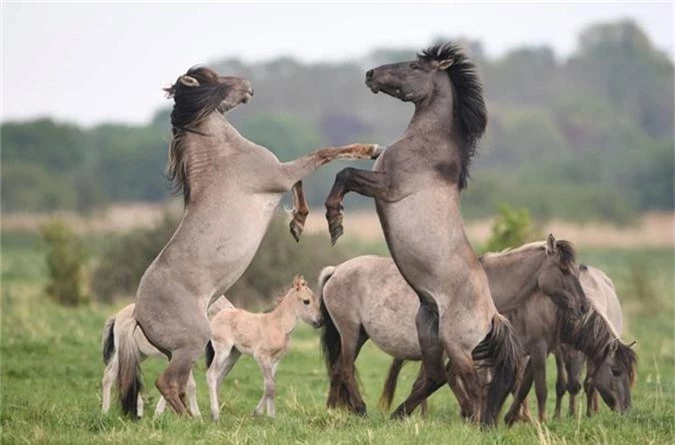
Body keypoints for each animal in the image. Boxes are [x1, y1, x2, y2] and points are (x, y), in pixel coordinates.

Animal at [116, 66, 380, 416]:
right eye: (215, 79)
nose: (248, 86)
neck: (223, 154)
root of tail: (137, 315)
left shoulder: (280, 177)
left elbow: (300, 182)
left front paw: (298, 223)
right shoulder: (279, 174)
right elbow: (319, 156)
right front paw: (371, 149)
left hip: (180, 351)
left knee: (177, 385)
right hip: (191, 343)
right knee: (168, 383)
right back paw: (193, 420)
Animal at [320, 234, 588, 418]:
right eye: (563, 270)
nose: (584, 306)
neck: (483, 290)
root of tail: (336, 270)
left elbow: (445, 379)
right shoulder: (456, 348)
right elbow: (451, 379)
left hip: (358, 336)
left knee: (337, 369)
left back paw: (333, 409)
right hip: (349, 333)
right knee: (345, 369)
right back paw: (359, 409)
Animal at [324, 43, 524, 424]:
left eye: (416, 67)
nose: (370, 74)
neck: (427, 147)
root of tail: (492, 317)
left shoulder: (385, 186)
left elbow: (345, 174)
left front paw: (334, 220)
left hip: (454, 342)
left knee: (469, 382)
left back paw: (472, 423)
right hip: (427, 330)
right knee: (434, 375)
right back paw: (397, 415)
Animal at [552, 266, 636, 418]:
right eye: (616, 371)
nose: (626, 408)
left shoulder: (592, 354)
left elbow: (589, 385)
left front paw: (589, 414)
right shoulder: (559, 350)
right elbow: (562, 384)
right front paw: (558, 416)